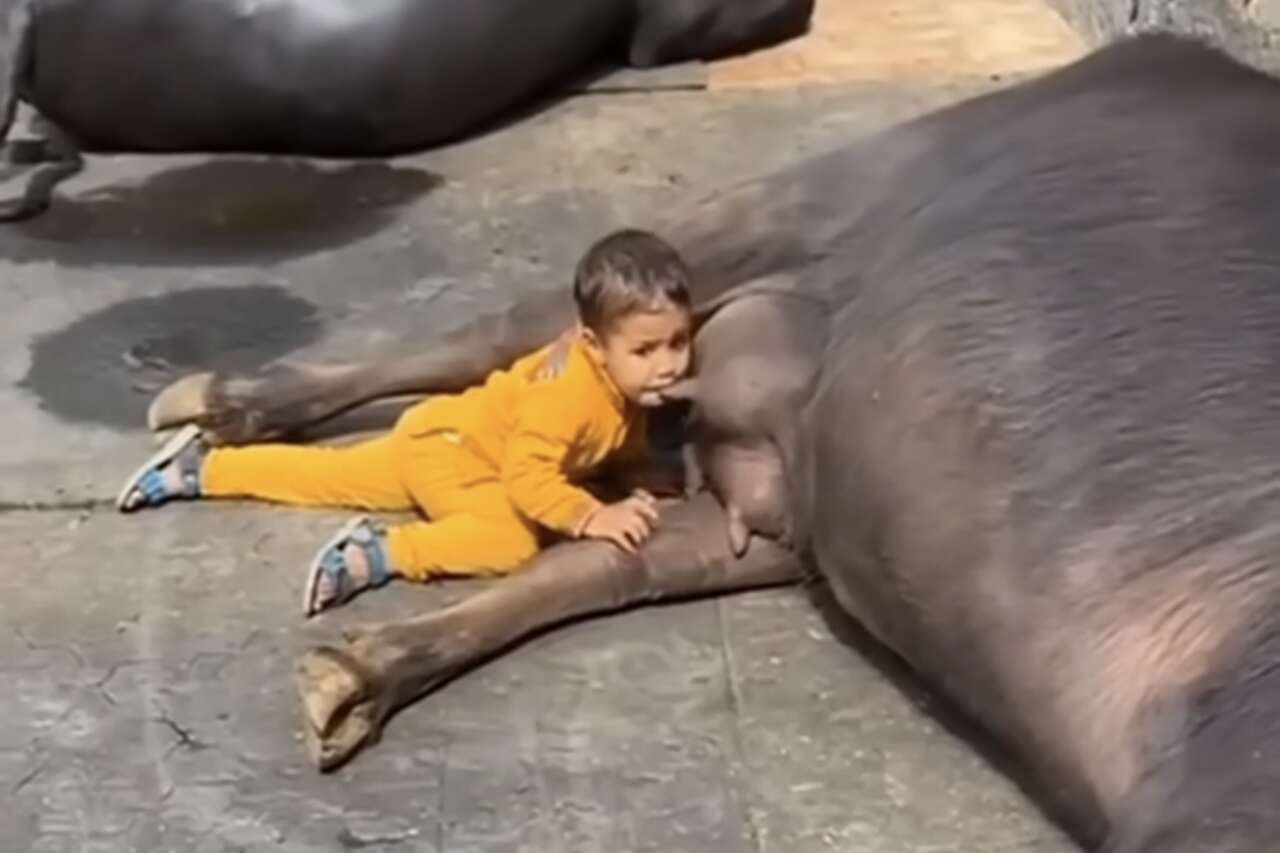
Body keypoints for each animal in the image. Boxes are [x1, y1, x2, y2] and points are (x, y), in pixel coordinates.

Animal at [145, 33, 1280, 850]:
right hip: (787, 205)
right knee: (501, 326)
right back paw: (203, 402)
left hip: (795, 506)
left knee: (616, 563)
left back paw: (347, 677)